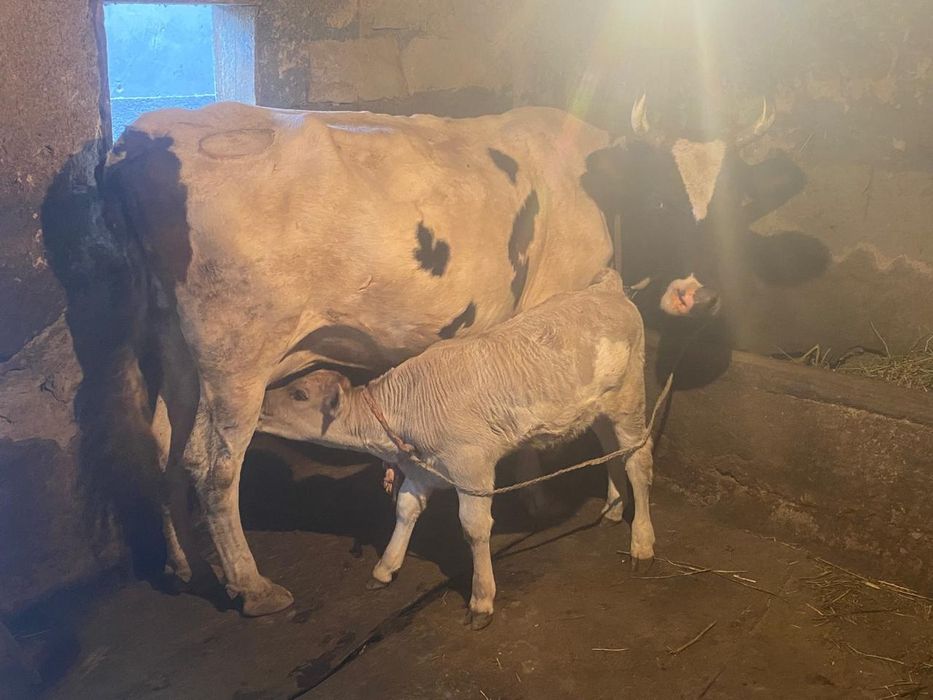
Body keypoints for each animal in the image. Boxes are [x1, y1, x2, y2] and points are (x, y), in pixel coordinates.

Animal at [258, 268, 652, 629]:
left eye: (299, 394)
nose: (260, 403)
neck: (409, 407)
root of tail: (606, 288)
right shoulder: (420, 471)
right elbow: (405, 509)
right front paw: (385, 568)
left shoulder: (471, 467)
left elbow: (474, 528)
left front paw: (481, 600)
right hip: (599, 408)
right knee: (610, 449)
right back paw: (614, 508)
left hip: (630, 398)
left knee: (637, 462)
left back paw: (642, 542)